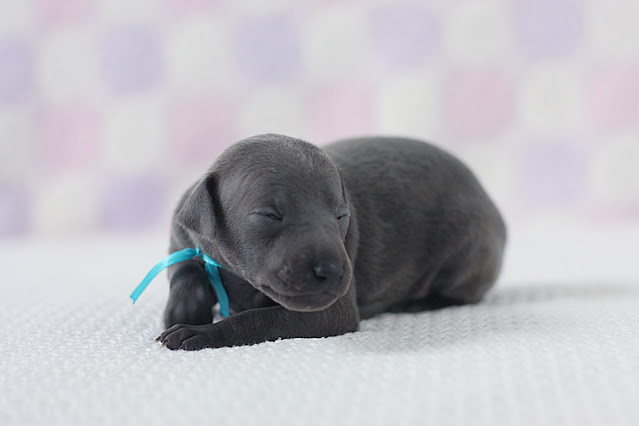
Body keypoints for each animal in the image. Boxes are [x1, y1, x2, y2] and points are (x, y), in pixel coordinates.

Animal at [158, 133, 508, 350]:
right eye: (270, 215)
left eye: (341, 215)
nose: (333, 271)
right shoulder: (181, 234)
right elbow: (185, 270)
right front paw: (184, 309)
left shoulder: (327, 310)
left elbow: (257, 319)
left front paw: (200, 332)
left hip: (467, 246)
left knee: (464, 291)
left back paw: (419, 302)